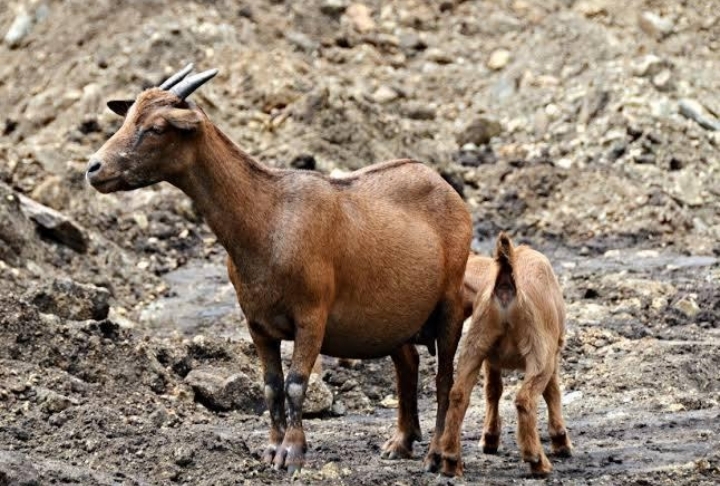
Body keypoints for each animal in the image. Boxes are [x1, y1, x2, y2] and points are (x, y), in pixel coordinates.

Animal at [85, 65, 472, 473]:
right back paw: (400, 442)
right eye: (127, 117)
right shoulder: (257, 323)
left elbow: (296, 383)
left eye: (157, 127)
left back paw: (437, 454)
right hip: (396, 316)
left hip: (449, 301)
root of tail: (445, 187)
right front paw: (271, 448)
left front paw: (292, 452)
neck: (268, 217)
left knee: (445, 377)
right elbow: (271, 385)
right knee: (408, 362)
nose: (94, 168)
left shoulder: (312, 316)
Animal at [439, 233, 572, 477]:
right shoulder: (552, 350)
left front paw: (490, 438)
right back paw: (537, 460)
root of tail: (505, 281)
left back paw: (451, 459)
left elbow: (493, 391)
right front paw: (561, 440)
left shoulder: (489, 358)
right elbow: (553, 392)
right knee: (525, 399)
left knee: (459, 395)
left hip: (474, 344)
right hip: (539, 351)